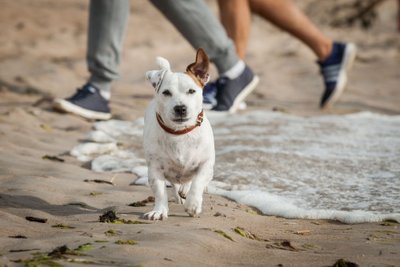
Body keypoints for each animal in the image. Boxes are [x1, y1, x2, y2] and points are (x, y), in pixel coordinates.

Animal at [142, 49, 214, 221]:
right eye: (166, 93)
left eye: (192, 91)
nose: (180, 108)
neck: (180, 132)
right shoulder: (155, 169)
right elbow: (160, 191)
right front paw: (159, 210)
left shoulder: (206, 164)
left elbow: (198, 182)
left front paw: (193, 204)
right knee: (175, 184)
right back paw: (178, 195)